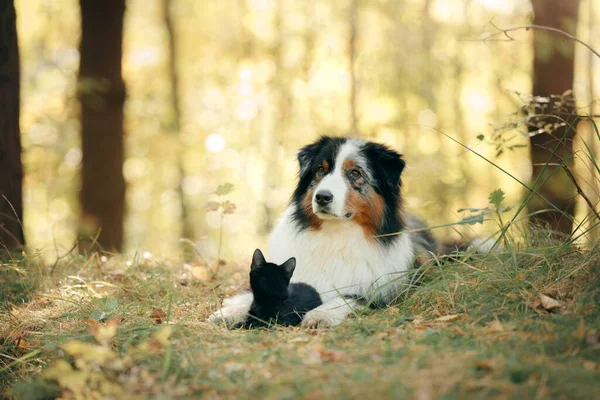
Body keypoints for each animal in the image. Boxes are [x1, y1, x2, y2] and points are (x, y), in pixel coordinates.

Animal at [211, 137, 468, 328]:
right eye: (320, 170)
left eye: (355, 173)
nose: (322, 197)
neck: (336, 234)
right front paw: (231, 310)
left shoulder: (377, 291)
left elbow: (346, 297)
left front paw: (320, 314)